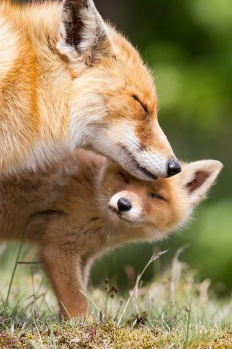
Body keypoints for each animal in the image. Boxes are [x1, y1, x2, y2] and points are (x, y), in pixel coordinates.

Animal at [0, 148, 222, 316]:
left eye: (155, 196)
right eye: (124, 178)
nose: (123, 204)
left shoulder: (84, 256)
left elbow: (78, 292)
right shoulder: (58, 249)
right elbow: (75, 298)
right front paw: (83, 326)